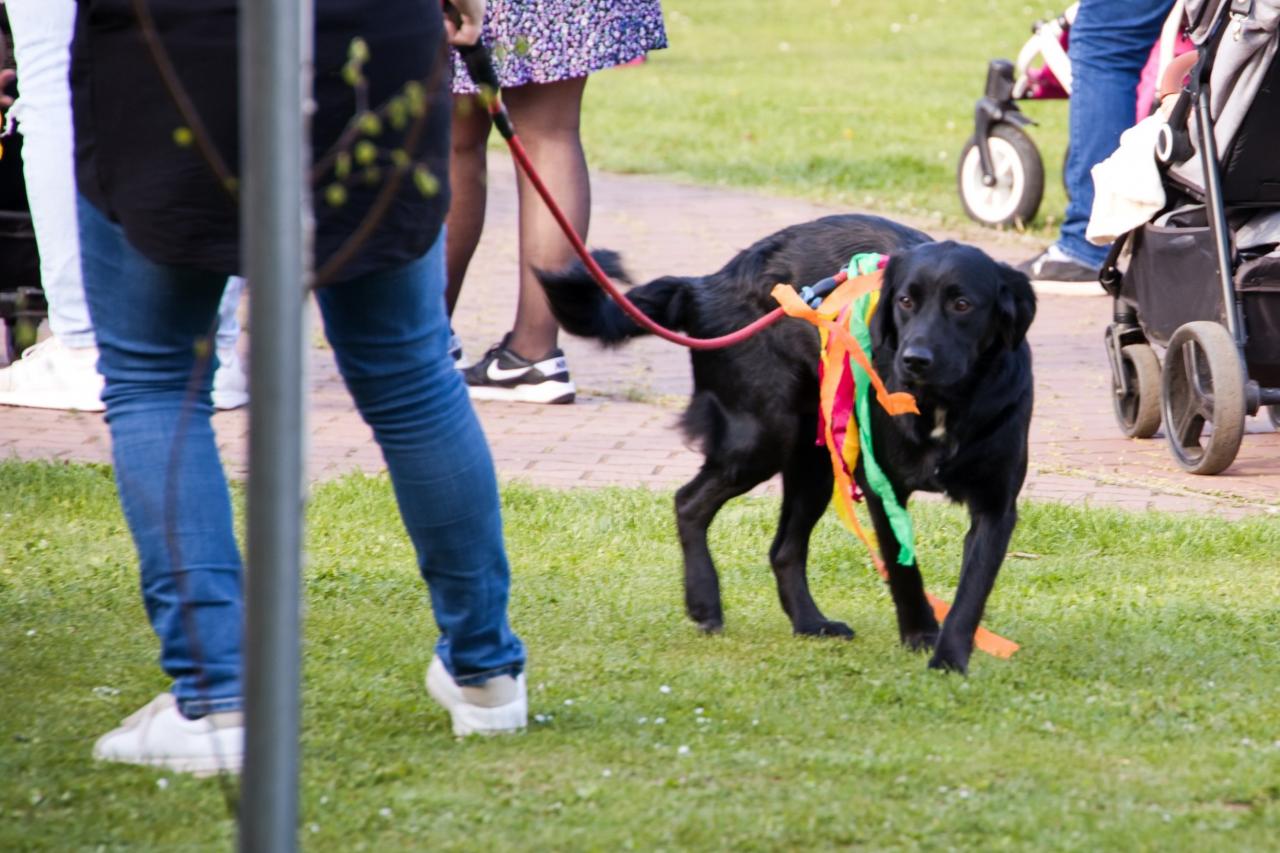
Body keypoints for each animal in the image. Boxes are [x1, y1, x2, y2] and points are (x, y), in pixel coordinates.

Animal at [537, 214, 1036, 672]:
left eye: (963, 304)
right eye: (906, 301)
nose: (914, 359)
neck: (943, 406)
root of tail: (708, 284)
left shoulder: (996, 506)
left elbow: (972, 590)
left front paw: (949, 657)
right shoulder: (883, 487)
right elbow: (903, 569)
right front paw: (920, 634)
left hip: (812, 459)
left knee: (783, 549)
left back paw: (810, 622)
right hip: (762, 438)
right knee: (689, 502)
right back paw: (704, 600)